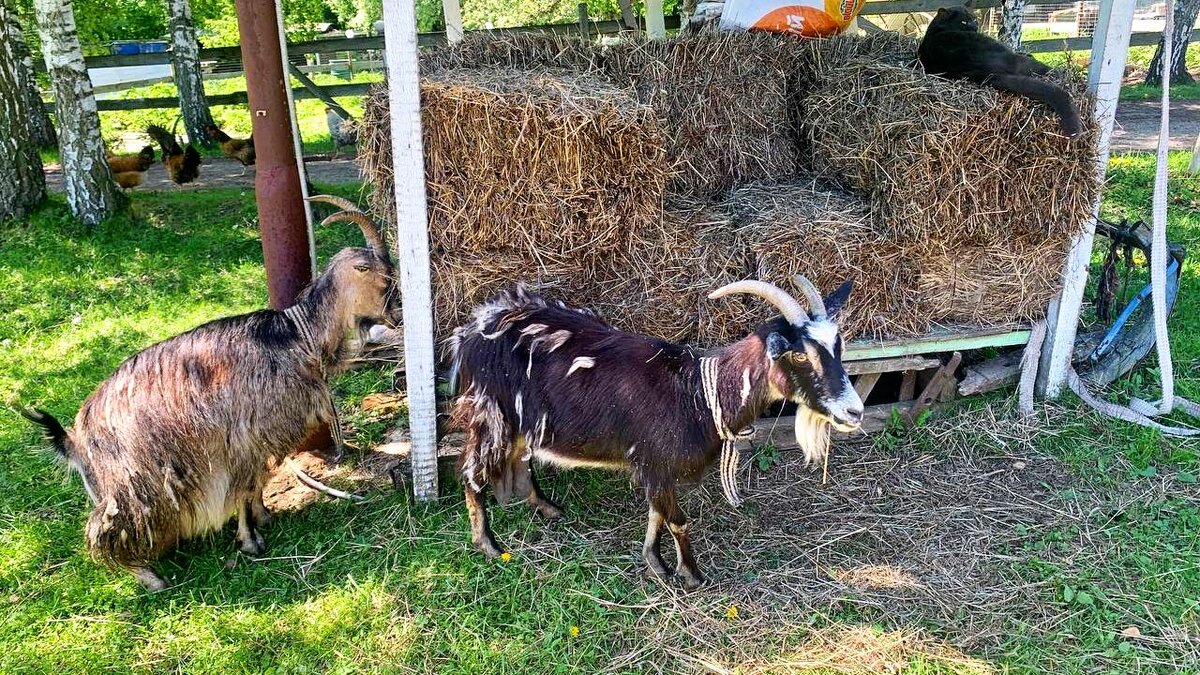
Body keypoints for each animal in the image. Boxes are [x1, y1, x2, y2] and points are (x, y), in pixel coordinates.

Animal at [22, 194, 398, 588]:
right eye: (380, 276)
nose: (398, 314)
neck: (296, 334)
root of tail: (75, 439)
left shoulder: (257, 439)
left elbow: (257, 483)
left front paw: (263, 518)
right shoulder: (243, 437)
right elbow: (244, 488)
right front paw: (250, 541)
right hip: (131, 482)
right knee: (105, 527)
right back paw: (151, 578)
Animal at [448, 276, 864, 586]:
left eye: (838, 346)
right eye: (800, 354)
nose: (854, 411)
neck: (698, 391)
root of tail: (472, 330)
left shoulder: (654, 464)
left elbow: (656, 514)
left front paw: (656, 563)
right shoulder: (656, 460)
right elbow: (676, 519)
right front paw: (691, 574)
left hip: (520, 421)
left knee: (519, 460)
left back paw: (547, 507)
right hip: (490, 412)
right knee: (471, 472)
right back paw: (487, 544)